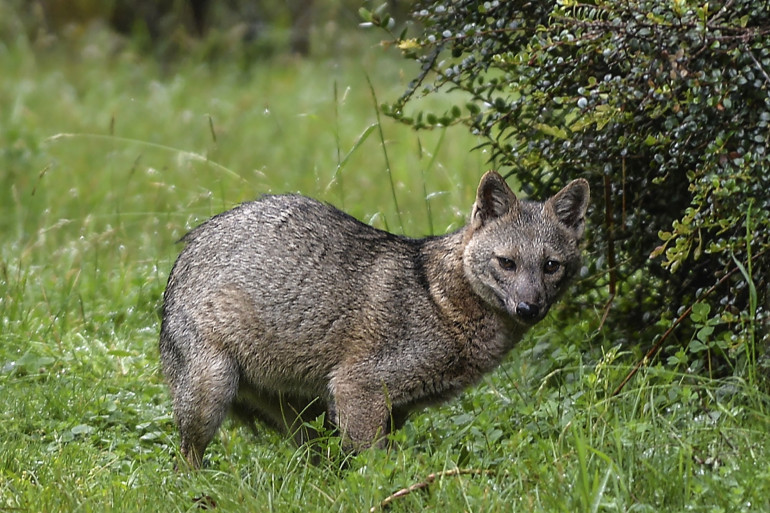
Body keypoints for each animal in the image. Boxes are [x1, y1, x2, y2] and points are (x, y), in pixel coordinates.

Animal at [158, 170, 588, 466]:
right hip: (212, 396)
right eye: (507, 263)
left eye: (551, 266)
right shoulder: (357, 387)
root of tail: (186, 247)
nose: (529, 308)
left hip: (307, 420)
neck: (439, 300)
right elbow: (372, 469)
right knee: (184, 462)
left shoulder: (394, 409)